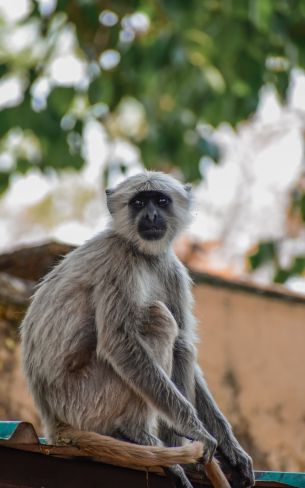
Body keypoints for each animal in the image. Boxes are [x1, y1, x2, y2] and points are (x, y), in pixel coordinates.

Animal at [21, 172, 253, 488]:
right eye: (139, 202)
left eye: (161, 201)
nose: (152, 215)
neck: (141, 253)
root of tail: (53, 421)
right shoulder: (117, 260)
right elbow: (119, 342)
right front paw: (196, 430)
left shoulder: (171, 267)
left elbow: (183, 341)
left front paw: (232, 449)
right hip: (86, 400)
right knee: (156, 319)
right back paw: (138, 434)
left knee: (179, 344)